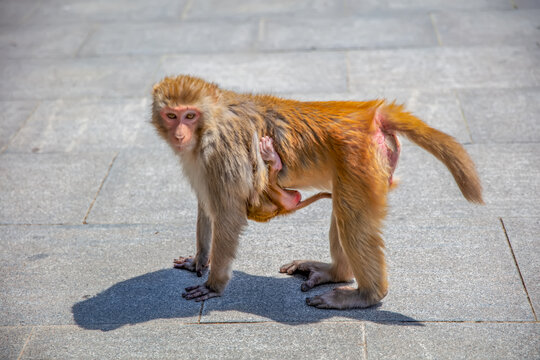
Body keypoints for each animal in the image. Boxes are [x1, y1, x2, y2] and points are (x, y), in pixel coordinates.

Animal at [150, 74, 484, 308]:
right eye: (172, 115)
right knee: (343, 212)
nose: (180, 134)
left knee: (351, 221)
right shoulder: (200, 161)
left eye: (190, 115)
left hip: (359, 162)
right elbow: (207, 206)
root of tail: (369, 114)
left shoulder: (220, 153)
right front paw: (199, 260)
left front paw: (214, 285)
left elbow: (228, 215)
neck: (211, 123)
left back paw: (367, 295)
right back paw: (336, 273)